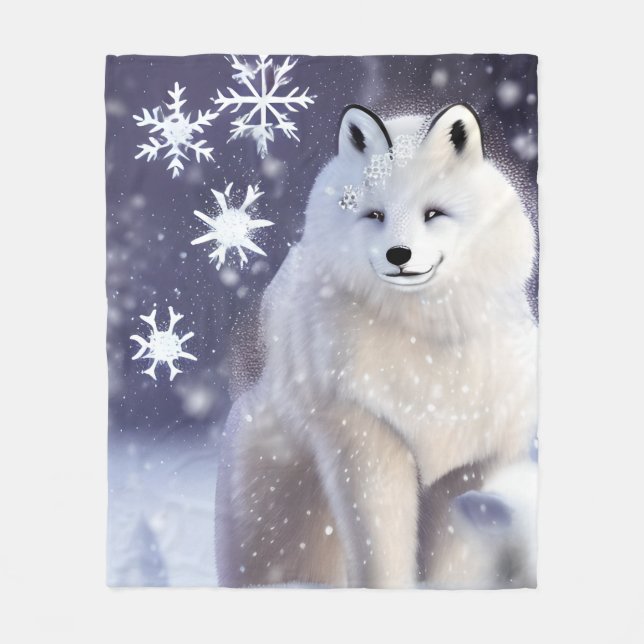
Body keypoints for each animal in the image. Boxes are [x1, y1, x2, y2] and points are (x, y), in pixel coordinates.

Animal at [215, 102, 538, 588]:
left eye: (433, 214)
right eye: (374, 215)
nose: (398, 255)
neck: (428, 340)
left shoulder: (473, 458)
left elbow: (452, 556)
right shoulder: (365, 436)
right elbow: (382, 549)